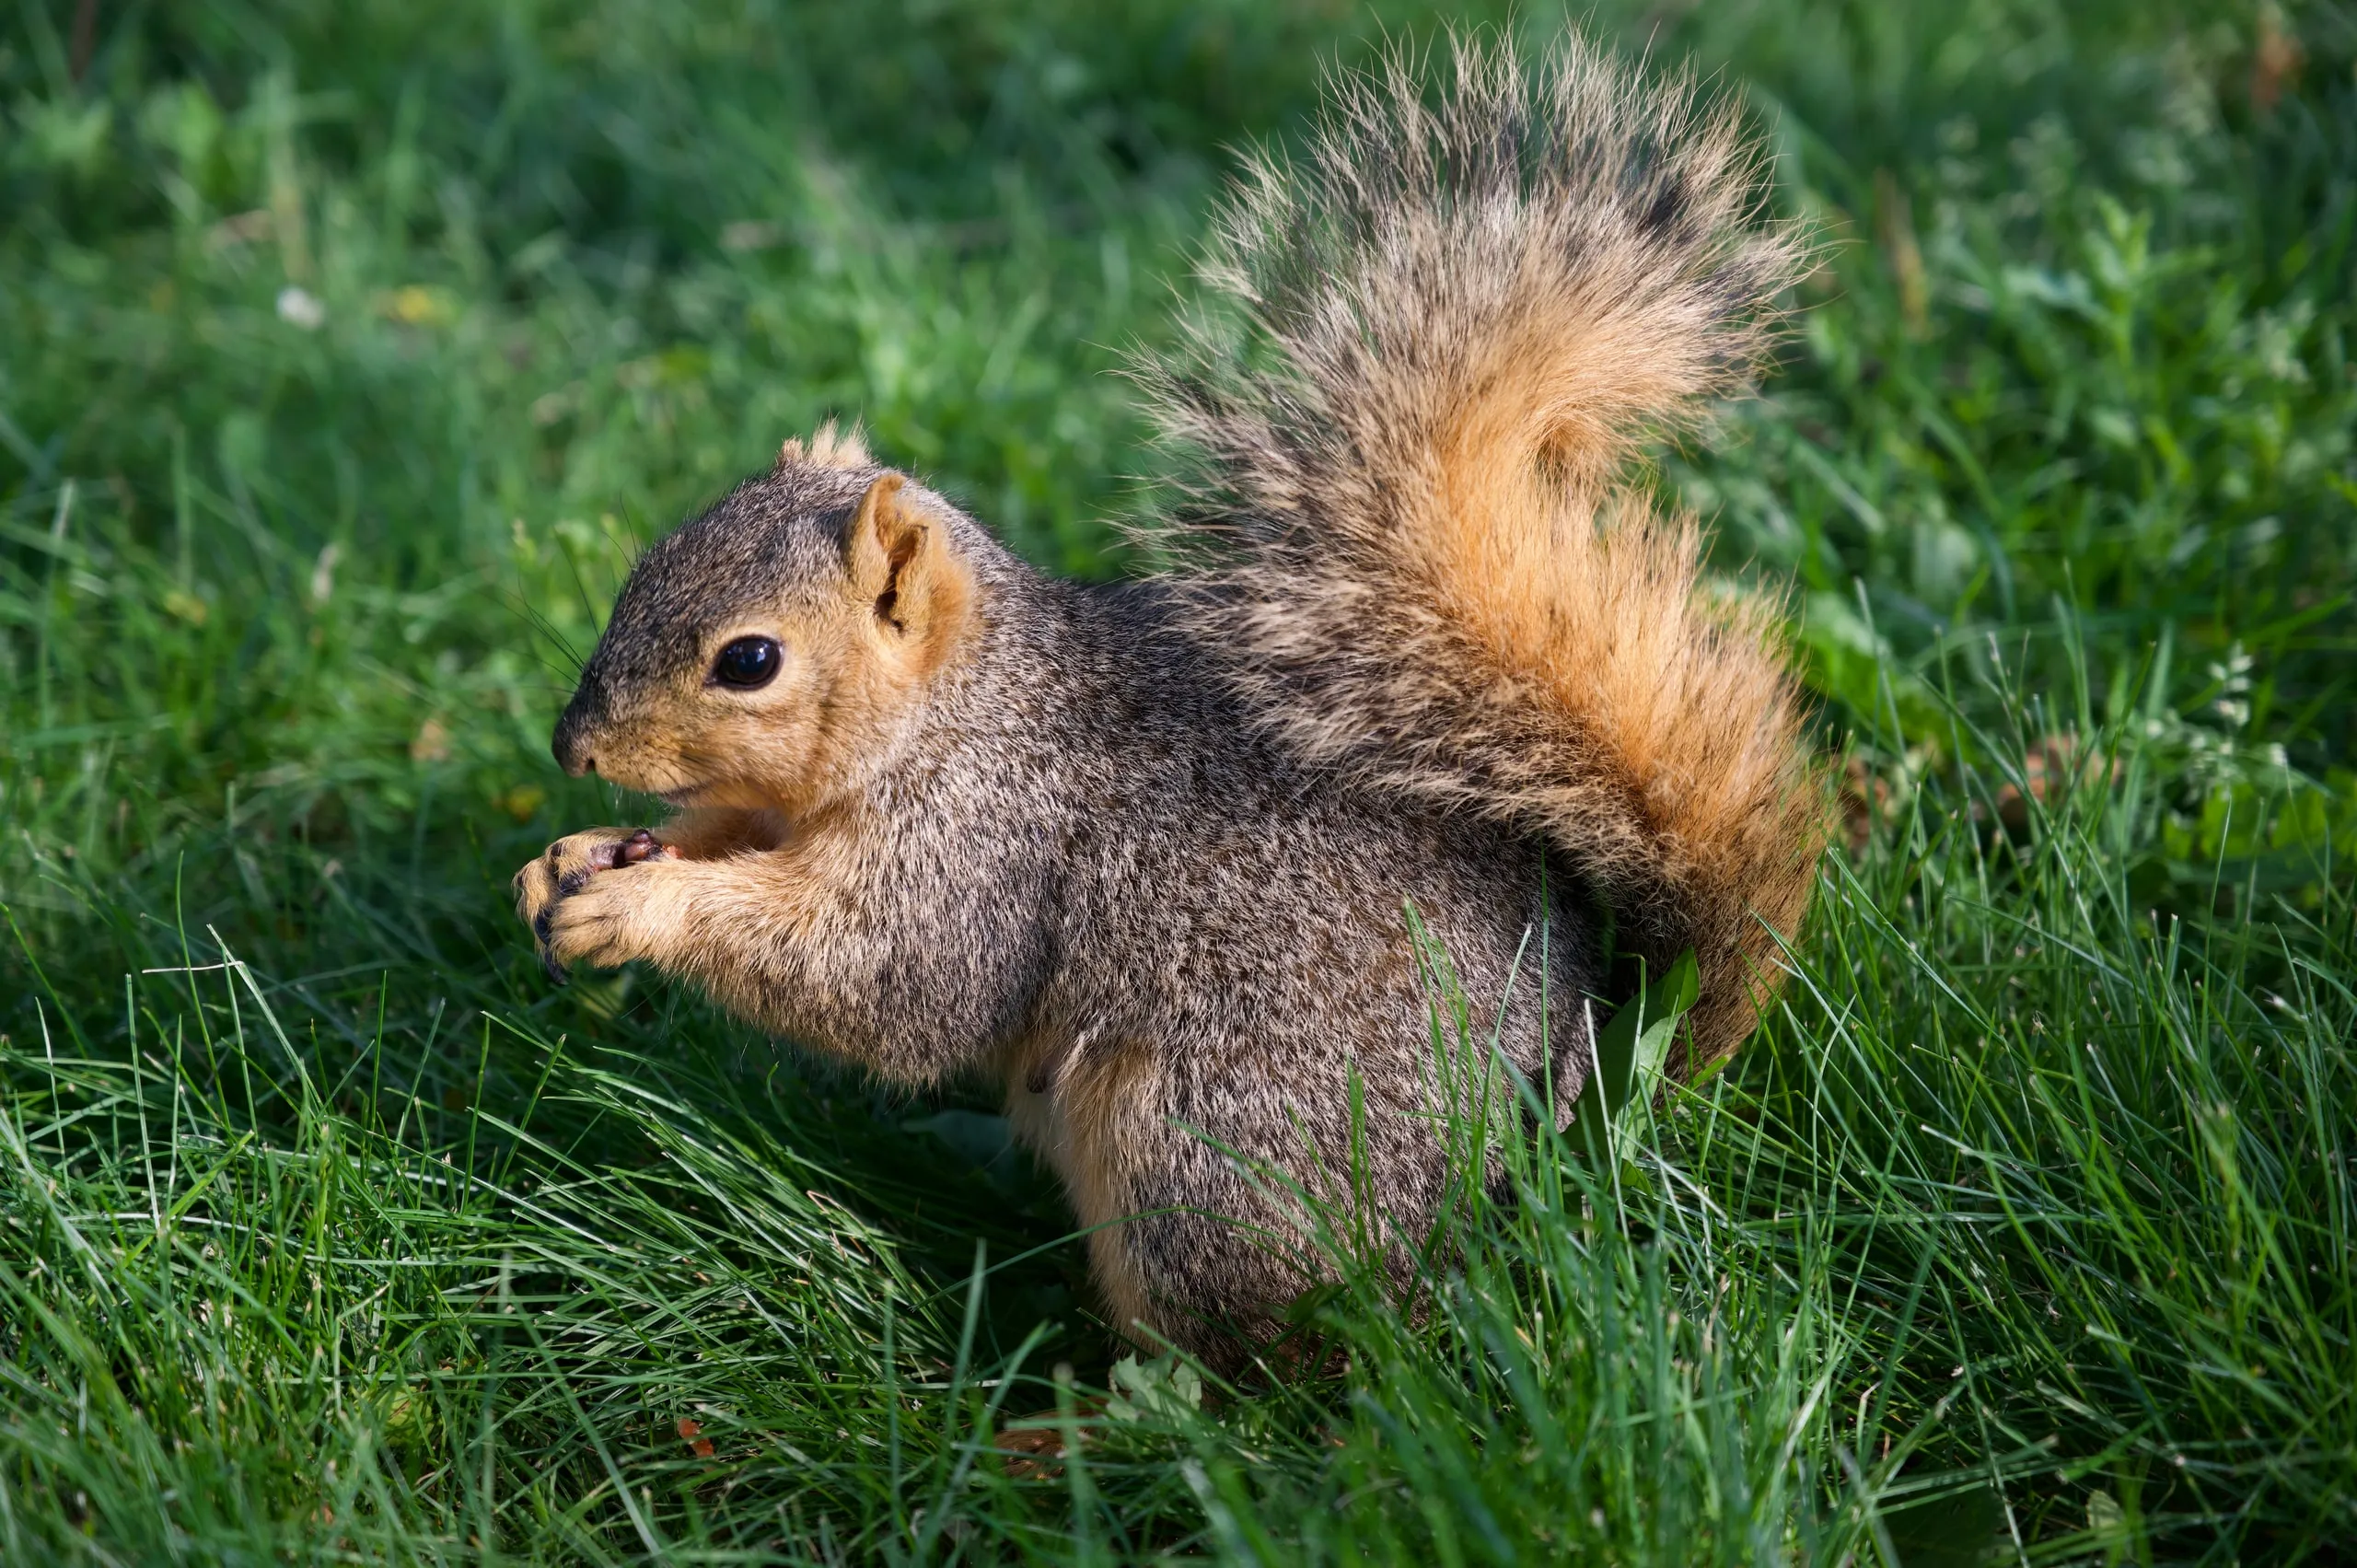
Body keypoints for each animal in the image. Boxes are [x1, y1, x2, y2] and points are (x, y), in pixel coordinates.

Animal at [514, 37, 1820, 1362]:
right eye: (650, 556)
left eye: (749, 660)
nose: (573, 747)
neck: (958, 714)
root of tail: (1561, 1146)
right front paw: (575, 858)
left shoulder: (981, 853)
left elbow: (882, 986)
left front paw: (645, 905)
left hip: (1198, 1159)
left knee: (1260, 1359)